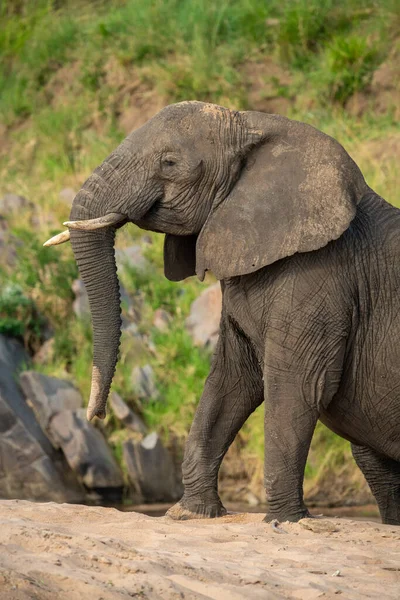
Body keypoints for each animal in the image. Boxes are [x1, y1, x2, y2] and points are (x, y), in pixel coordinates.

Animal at [45, 101, 400, 524]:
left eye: (169, 162)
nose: (93, 417)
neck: (254, 122)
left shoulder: (321, 278)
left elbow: (297, 385)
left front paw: (285, 521)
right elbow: (230, 380)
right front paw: (190, 514)